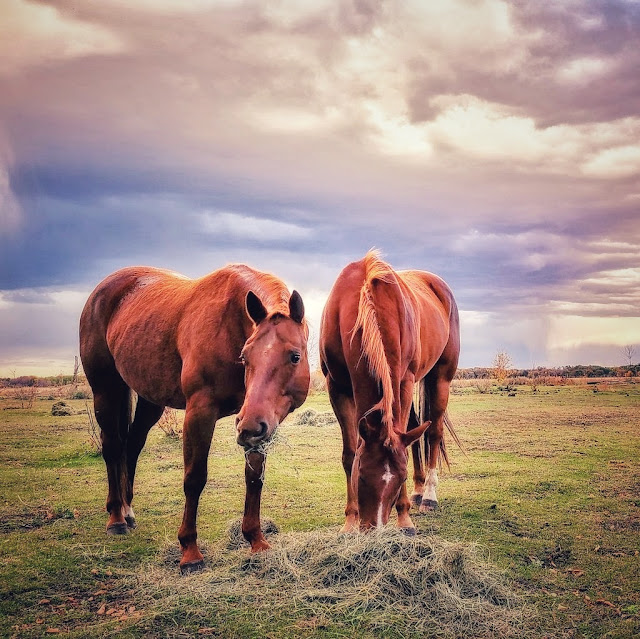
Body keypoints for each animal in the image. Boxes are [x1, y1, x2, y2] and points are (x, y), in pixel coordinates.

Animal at [80, 262, 310, 572]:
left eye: (295, 356)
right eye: (245, 357)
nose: (250, 427)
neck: (230, 322)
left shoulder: (260, 421)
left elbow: (254, 477)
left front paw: (256, 540)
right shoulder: (200, 412)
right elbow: (194, 478)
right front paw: (190, 551)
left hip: (150, 400)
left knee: (132, 446)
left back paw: (128, 511)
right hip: (105, 390)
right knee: (113, 447)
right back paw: (116, 518)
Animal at [320, 252, 460, 532]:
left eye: (400, 477)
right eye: (361, 475)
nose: (374, 528)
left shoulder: (404, 381)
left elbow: (403, 442)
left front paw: (404, 520)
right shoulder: (336, 388)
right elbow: (349, 452)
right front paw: (349, 522)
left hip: (440, 378)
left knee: (434, 432)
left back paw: (428, 496)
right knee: (417, 429)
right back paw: (418, 492)